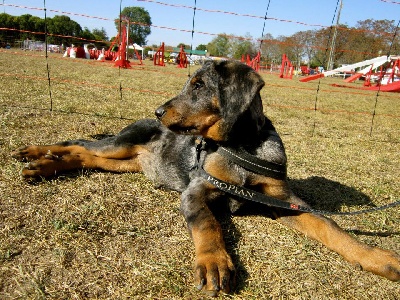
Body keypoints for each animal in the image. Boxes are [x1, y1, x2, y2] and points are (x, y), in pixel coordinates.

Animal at [10, 60, 398, 296]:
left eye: (198, 86)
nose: (159, 111)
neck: (241, 146)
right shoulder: (197, 190)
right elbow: (207, 223)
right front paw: (214, 262)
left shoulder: (283, 198)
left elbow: (330, 226)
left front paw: (377, 258)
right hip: (120, 145)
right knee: (78, 145)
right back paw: (35, 156)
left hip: (123, 162)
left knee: (84, 155)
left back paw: (43, 165)